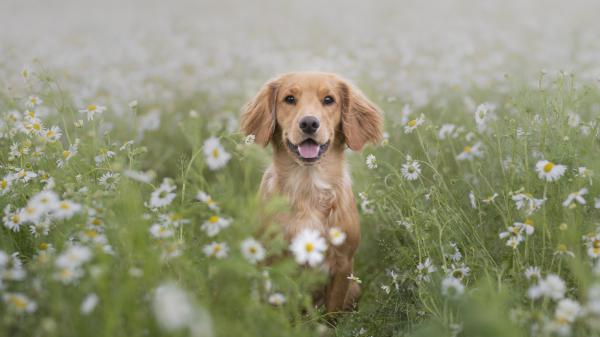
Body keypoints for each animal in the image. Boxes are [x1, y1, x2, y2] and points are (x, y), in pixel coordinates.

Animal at [238, 71, 380, 316]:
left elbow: (332, 313)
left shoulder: (343, 264)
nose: (309, 123)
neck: (308, 187)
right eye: (289, 99)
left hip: (354, 287)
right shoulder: (272, 261)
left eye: (329, 99)